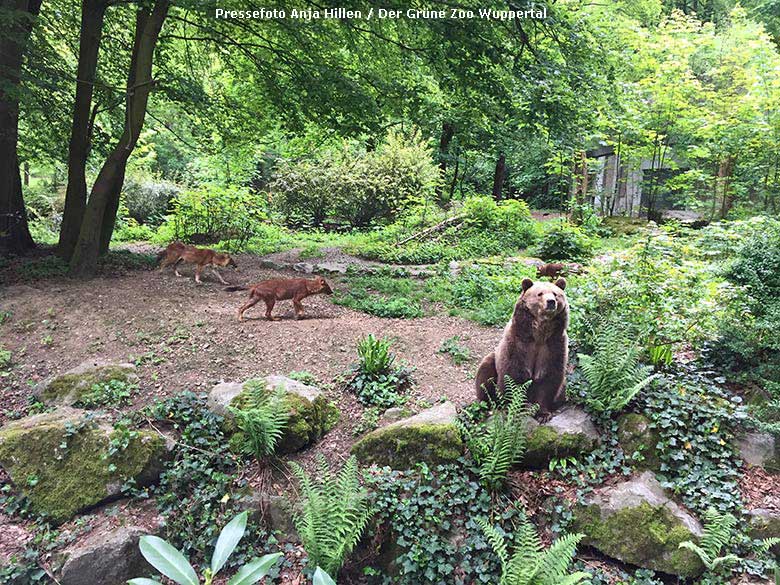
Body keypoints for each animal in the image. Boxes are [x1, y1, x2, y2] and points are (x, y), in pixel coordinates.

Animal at [472, 276, 568, 412]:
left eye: (556, 294)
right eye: (540, 293)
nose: (551, 302)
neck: (540, 333)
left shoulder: (553, 344)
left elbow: (549, 378)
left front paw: (542, 411)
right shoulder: (519, 343)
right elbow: (513, 374)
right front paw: (515, 406)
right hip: (493, 360)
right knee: (485, 372)